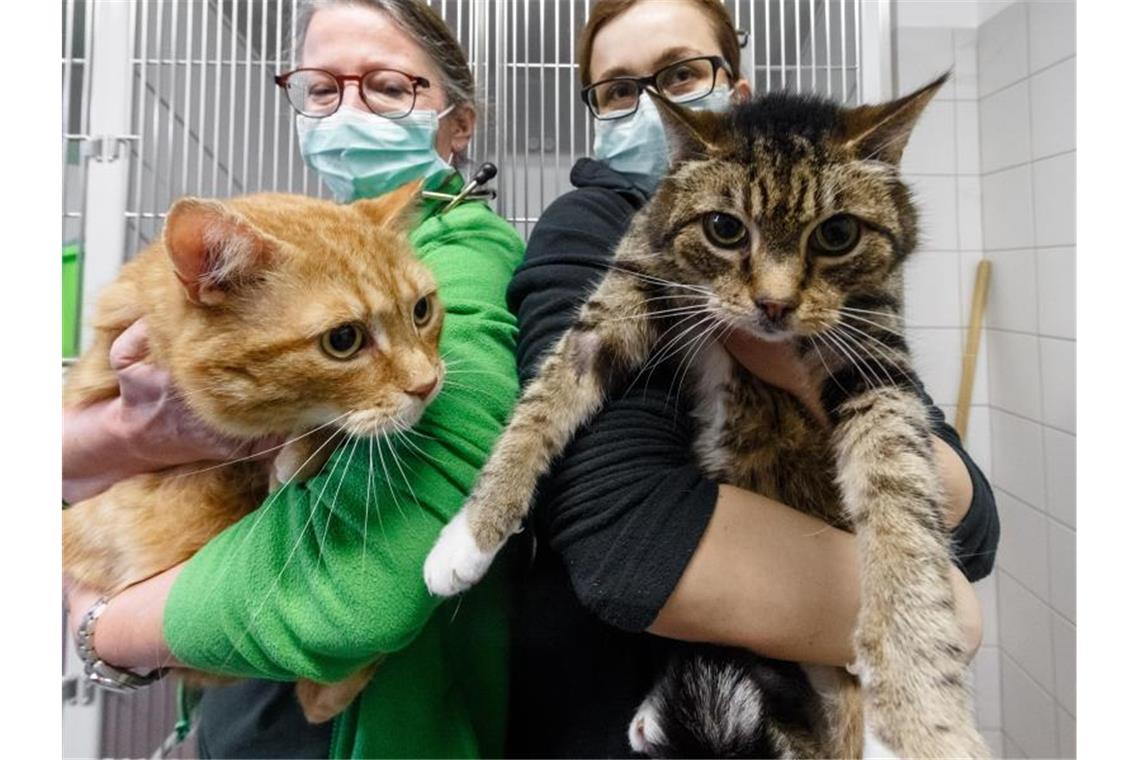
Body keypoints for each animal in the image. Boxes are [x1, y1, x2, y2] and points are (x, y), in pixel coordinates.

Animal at [426, 78, 989, 760]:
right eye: (724, 228)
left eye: (837, 234)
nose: (774, 304)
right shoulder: (629, 284)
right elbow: (546, 397)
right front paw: (470, 534)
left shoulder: (875, 358)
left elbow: (901, 501)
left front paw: (919, 718)